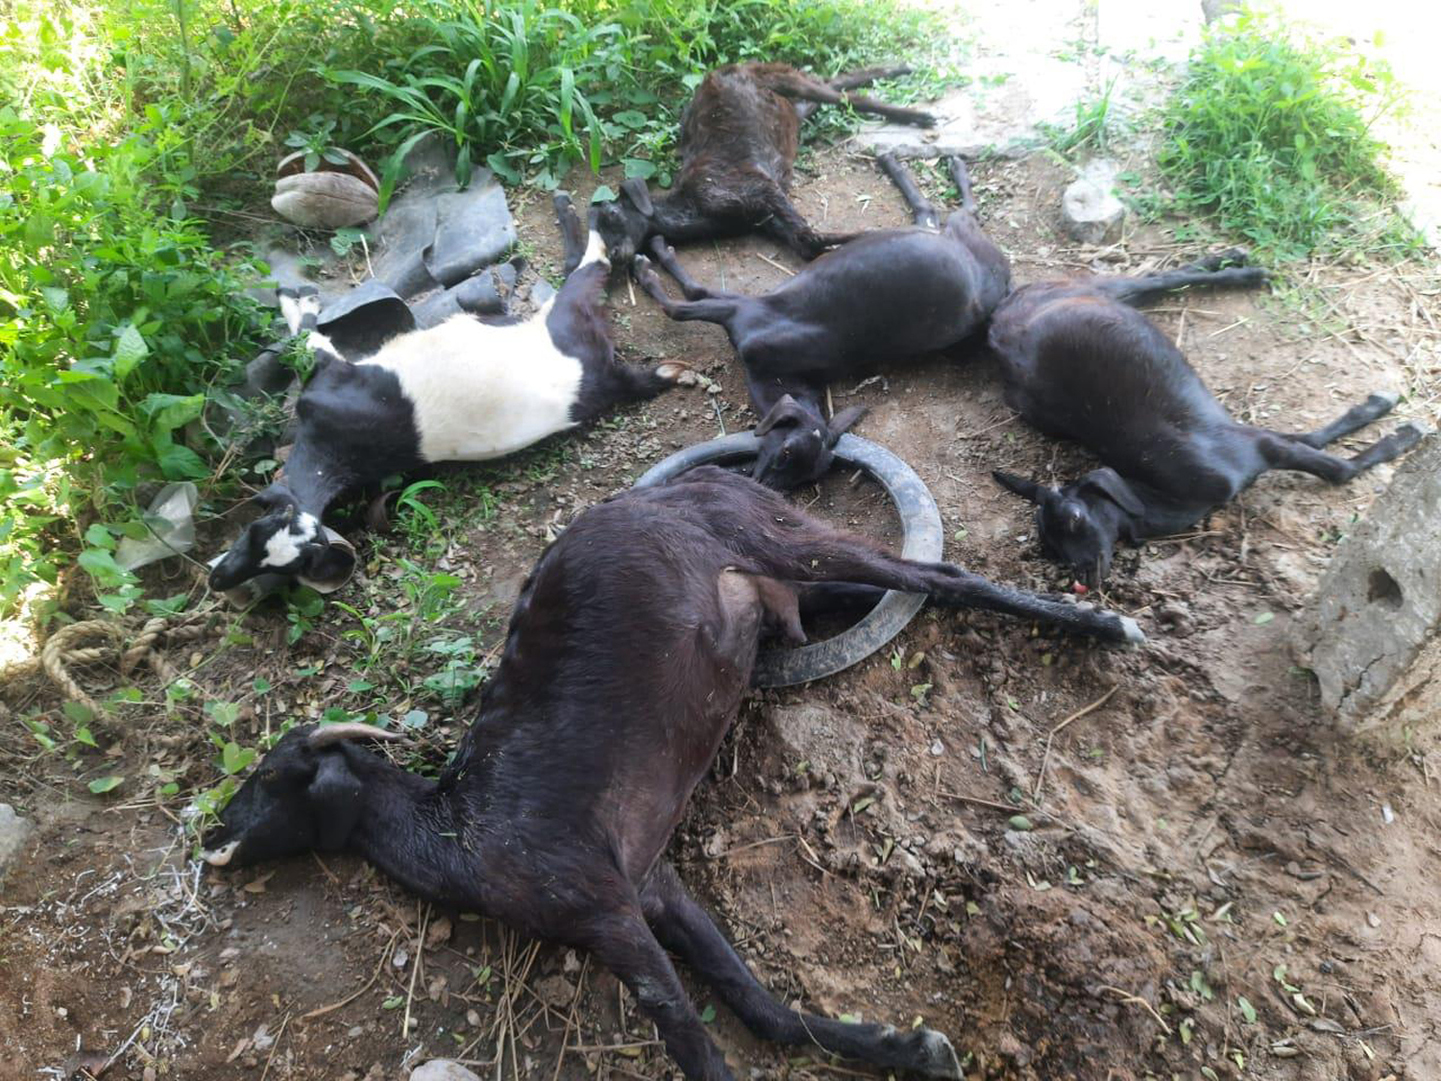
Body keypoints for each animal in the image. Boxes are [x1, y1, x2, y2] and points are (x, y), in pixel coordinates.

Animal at [201, 466, 1143, 1081]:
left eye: (269, 778)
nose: (213, 836)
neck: (458, 830)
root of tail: (691, 480)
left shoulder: (599, 905)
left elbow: (690, 1034)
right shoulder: (653, 884)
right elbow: (757, 1005)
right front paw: (902, 1048)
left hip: (778, 535)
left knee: (930, 574)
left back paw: (1102, 623)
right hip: (778, 590)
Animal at [207, 194, 686, 595]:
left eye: (256, 532)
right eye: (267, 555)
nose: (217, 580)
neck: (335, 449)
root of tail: (596, 373)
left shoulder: (333, 374)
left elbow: (306, 336)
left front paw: (298, 299)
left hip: (563, 316)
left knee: (591, 265)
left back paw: (597, 217)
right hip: (595, 353)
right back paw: (669, 372)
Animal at [592, 63, 935, 264]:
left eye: (612, 215)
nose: (614, 256)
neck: (690, 207)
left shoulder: (758, 187)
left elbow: (811, 239)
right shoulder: (765, 216)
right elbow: (805, 242)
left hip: (784, 78)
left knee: (846, 95)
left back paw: (916, 110)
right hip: (795, 107)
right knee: (838, 83)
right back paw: (899, 72)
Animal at [632, 154, 1011, 489]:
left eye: (805, 476)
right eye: (786, 451)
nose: (762, 486)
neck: (781, 373)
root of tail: (1000, 282)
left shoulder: (747, 311)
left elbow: (684, 300)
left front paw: (649, 262)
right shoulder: (746, 308)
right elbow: (688, 296)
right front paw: (652, 256)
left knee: (949, 212)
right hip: (940, 233)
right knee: (941, 211)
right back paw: (914, 163)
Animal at [987, 252, 1429, 586]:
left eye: (1075, 519)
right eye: (1049, 547)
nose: (1082, 577)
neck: (1163, 492)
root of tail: (998, 319)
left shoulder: (1251, 448)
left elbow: (1337, 468)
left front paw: (1403, 434)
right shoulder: (1248, 439)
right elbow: (1312, 438)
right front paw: (1380, 409)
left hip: (1086, 290)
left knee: (1156, 278)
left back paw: (1243, 269)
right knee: (1157, 281)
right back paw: (1237, 262)